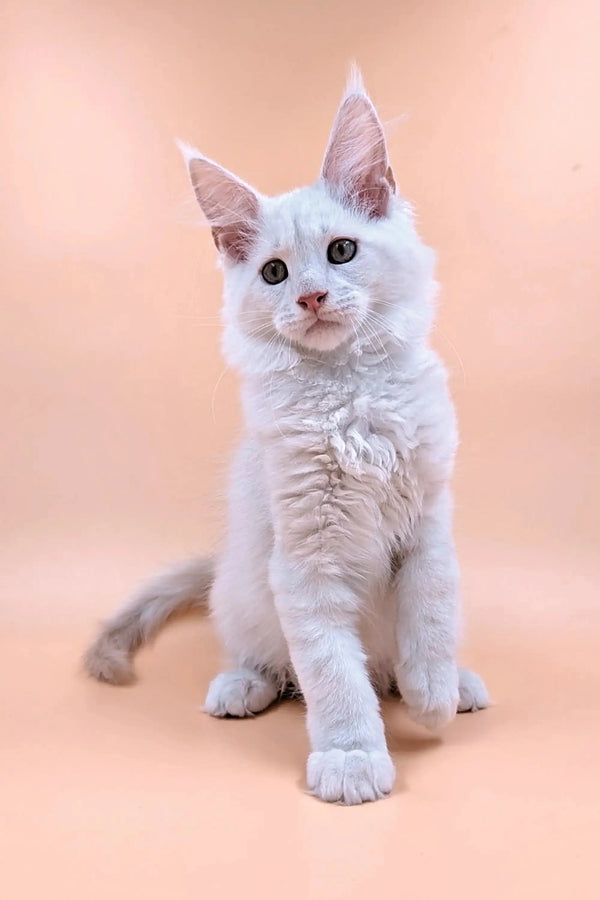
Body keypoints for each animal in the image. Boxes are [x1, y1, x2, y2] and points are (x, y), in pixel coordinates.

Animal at [83, 68, 488, 800]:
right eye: (274, 272)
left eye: (341, 252)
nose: (311, 298)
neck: (350, 399)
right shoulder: (305, 560)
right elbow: (332, 673)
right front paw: (352, 757)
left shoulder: (429, 524)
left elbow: (431, 617)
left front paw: (433, 694)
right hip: (244, 588)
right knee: (269, 658)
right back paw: (242, 685)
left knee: (390, 661)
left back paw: (452, 683)